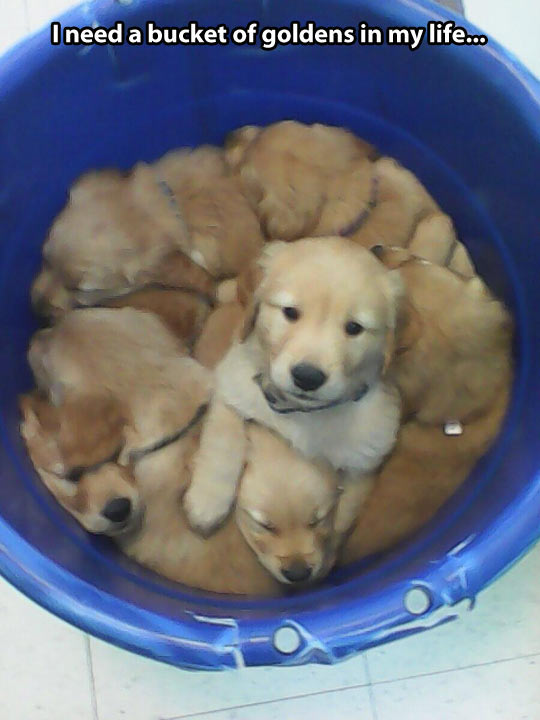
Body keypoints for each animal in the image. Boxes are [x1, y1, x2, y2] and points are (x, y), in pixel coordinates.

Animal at [185, 239, 400, 536]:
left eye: (354, 328)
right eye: (290, 312)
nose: (307, 378)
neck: (299, 411)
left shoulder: (369, 452)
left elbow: (349, 503)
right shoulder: (232, 386)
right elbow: (222, 441)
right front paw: (207, 501)